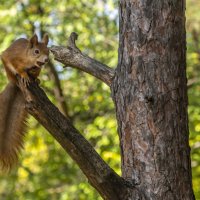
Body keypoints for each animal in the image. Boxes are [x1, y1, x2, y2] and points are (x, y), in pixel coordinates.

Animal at [0, 34, 49, 170]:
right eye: (36, 51)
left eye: (48, 51)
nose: (46, 60)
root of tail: (14, 84)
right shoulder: (13, 58)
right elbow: (17, 67)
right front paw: (24, 75)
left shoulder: (38, 67)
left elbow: (37, 71)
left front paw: (36, 78)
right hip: (9, 73)